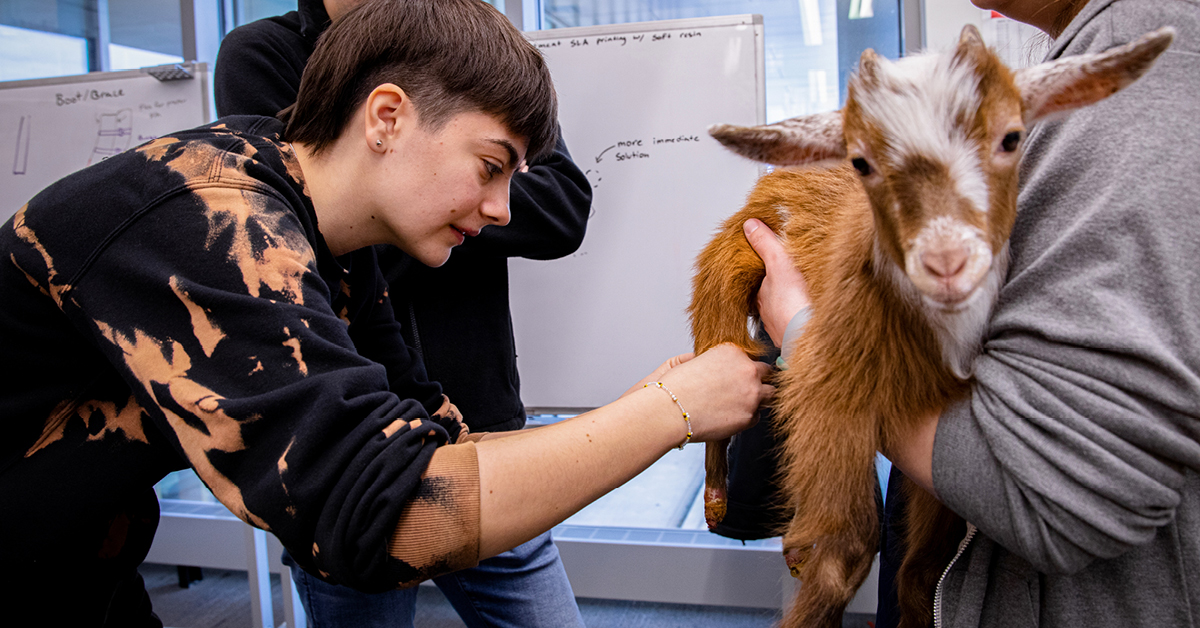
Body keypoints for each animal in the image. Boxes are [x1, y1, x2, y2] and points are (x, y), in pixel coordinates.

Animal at [691, 24, 1166, 628]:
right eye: (864, 161)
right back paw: (717, 502)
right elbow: (850, 544)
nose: (946, 260)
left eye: (1011, 139)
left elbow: (919, 567)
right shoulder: (830, 382)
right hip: (722, 278)